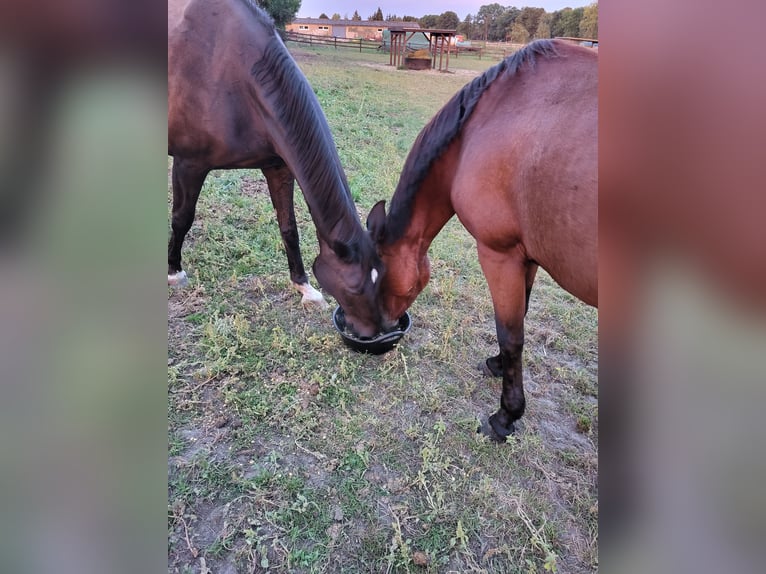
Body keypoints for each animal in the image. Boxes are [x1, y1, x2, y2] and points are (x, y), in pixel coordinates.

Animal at [169, 0, 384, 338]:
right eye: (355, 289)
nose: (375, 333)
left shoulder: (278, 168)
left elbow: (289, 229)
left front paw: (305, 288)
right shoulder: (188, 164)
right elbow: (182, 219)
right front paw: (173, 272)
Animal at [368, 40, 600, 444]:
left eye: (379, 274)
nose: (383, 325)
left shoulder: (498, 254)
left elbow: (510, 333)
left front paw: (506, 415)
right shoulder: (527, 256)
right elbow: (520, 315)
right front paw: (498, 365)